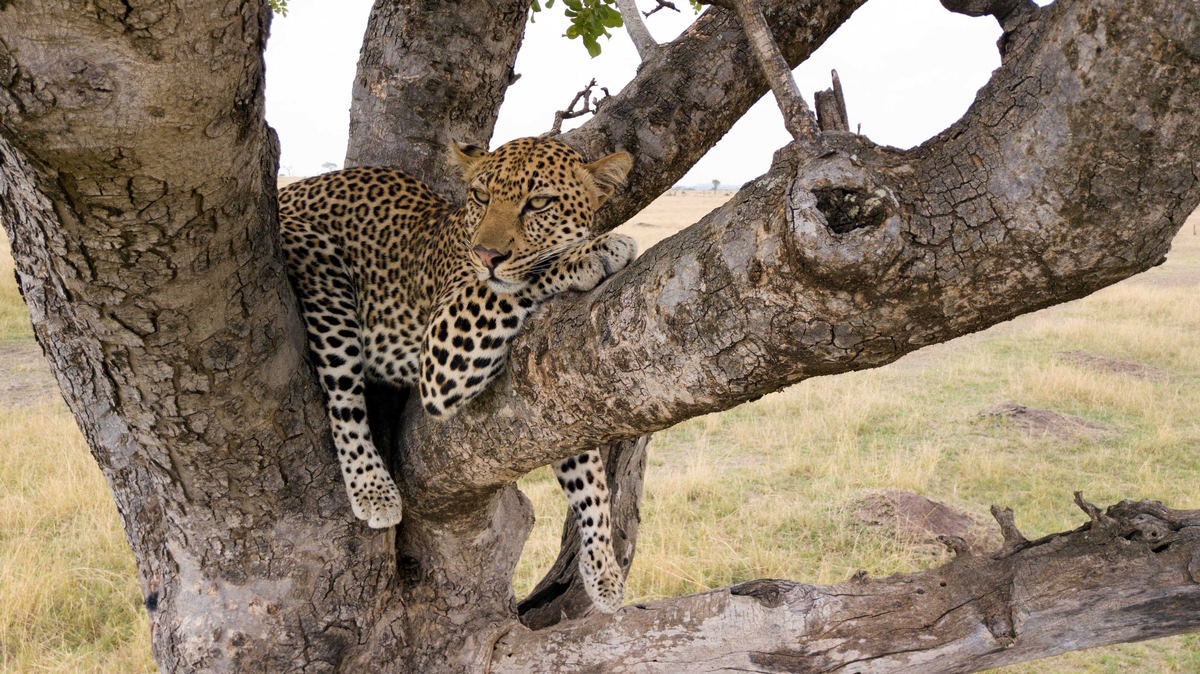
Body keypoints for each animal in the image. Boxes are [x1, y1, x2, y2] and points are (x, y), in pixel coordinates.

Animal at [278, 134, 638, 609]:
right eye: (482, 197)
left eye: (539, 203)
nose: (487, 255)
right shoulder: (442, 349)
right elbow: (513, 281)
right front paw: (592, 251)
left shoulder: (551, 402)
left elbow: (589, 477)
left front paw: (603, 570)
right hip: (321, 266)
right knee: (342, 396)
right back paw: (372, 487)